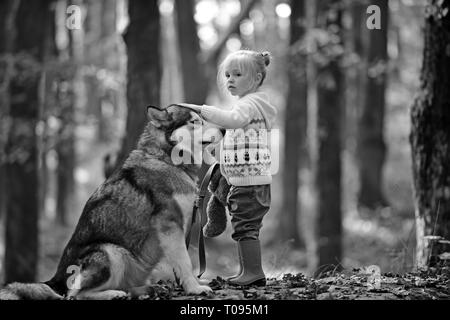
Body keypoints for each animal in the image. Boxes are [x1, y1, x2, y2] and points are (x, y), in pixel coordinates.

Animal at [0, 104, 214, 298]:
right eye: (195, 121)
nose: (220, 130)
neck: (166, 159)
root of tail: (56, 280)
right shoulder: (170, 226)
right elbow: (185, 262)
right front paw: (195, 288)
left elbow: (182, 262)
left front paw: (195, 283)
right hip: (111, 252)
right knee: (75, 295)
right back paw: (114, 293)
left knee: (124, 287)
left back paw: (147, 289)